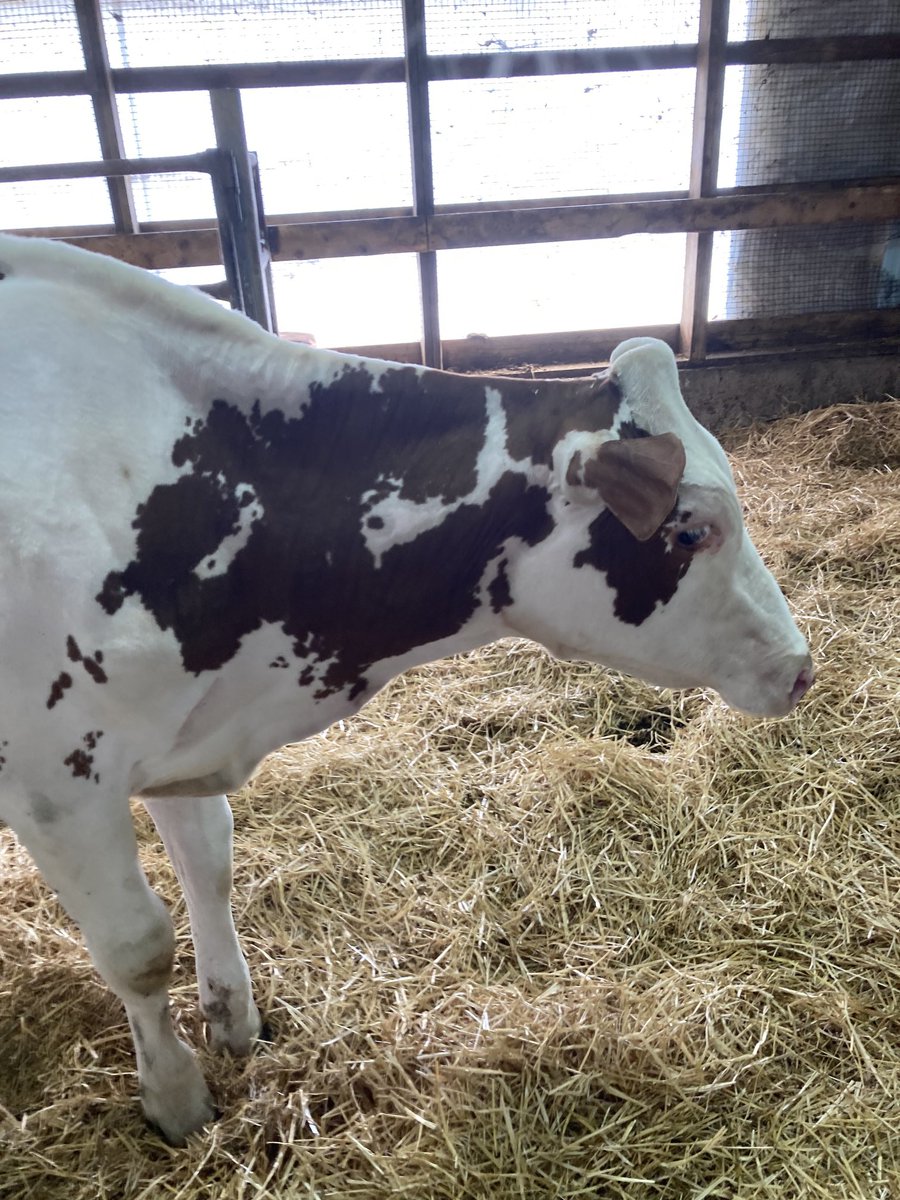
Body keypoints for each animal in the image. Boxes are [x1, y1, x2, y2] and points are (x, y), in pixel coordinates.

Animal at [0, 233, 813, 1143]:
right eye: (689, 530)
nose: (801, 667)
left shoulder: (180, 733)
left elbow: (209, 868)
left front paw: (236, 1023)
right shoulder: (57, 786)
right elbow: (137, 947)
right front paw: (176, 1099)